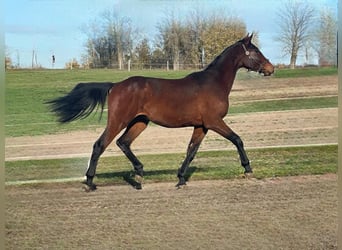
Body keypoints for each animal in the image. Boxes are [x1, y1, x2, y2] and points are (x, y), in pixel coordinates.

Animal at [46, 34, 274, 190]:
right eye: (255, 51)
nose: (271, 68)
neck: (214, 82)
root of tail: (115, 85)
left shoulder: (201, 126)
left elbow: (191, 151)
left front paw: (181, 179)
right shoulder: (214, 121)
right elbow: (237, 139)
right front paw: (248, 169)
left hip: (139, 122)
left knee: (123, 143)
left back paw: (139, 175)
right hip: (119, 120)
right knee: (100, 145)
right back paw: (90, 182)